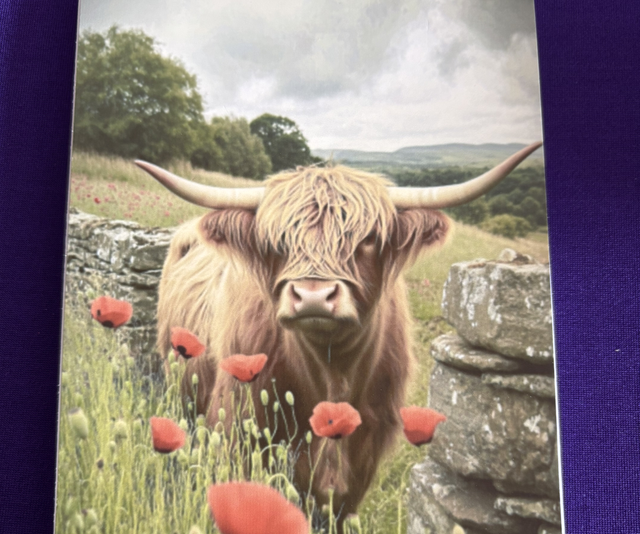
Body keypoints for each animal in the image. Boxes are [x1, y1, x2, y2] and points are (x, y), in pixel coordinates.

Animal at [135, 142, 541, 523]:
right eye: (277, 242)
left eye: (368, 238)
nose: (313, 296)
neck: (333, 374)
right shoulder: (239, 427)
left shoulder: (364, 453)